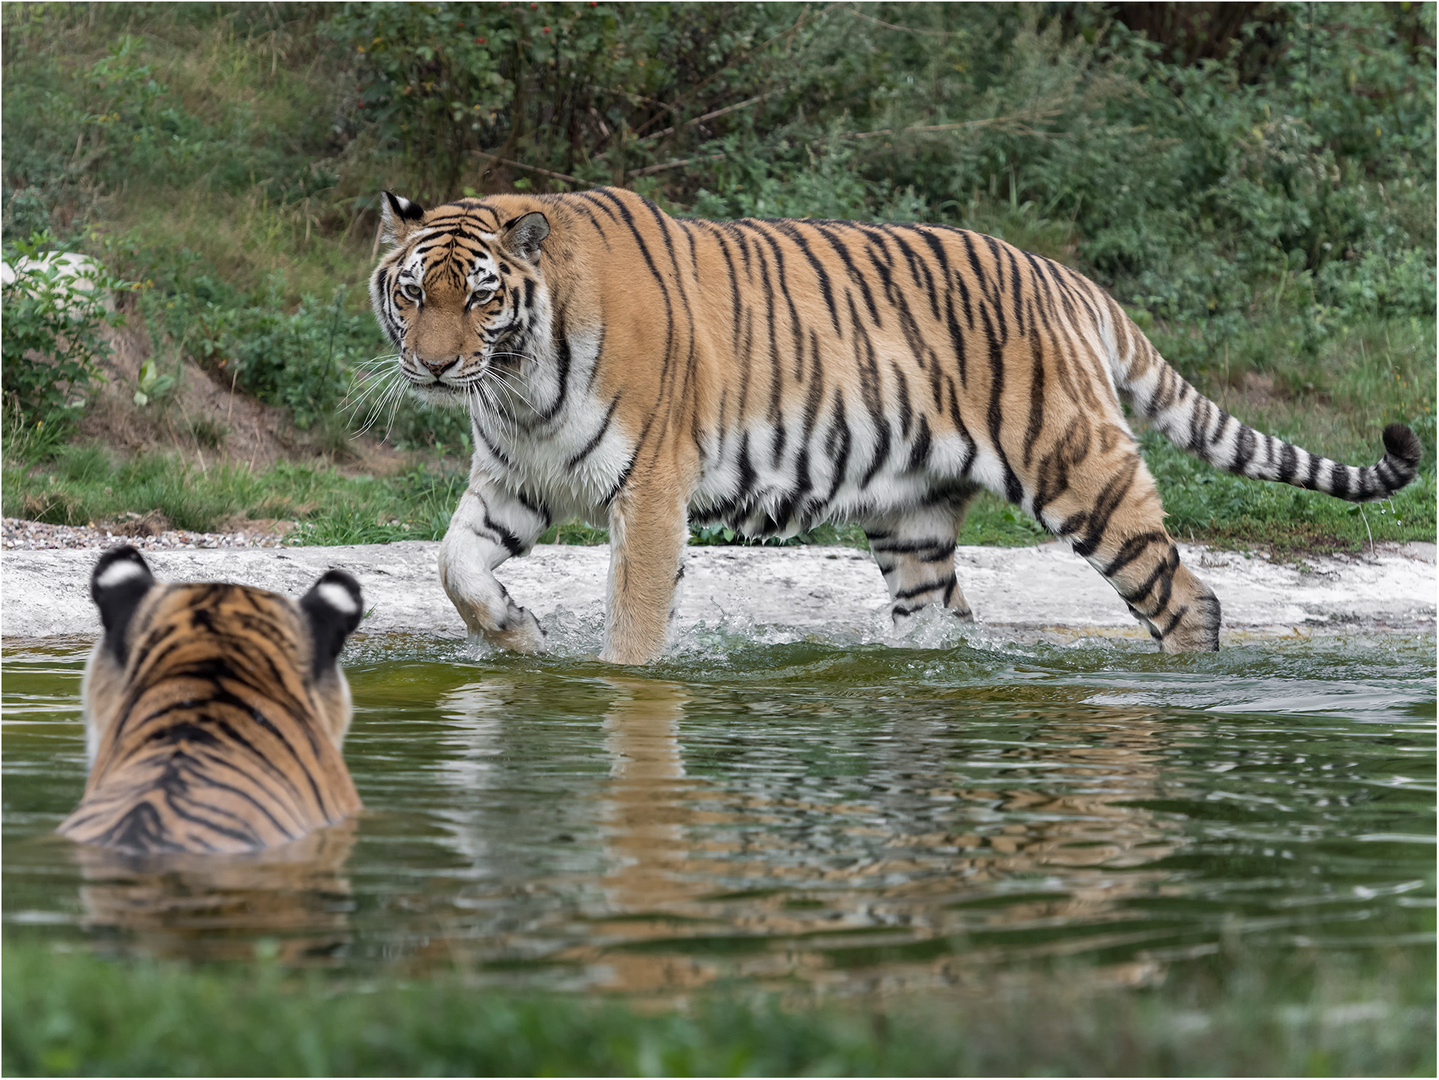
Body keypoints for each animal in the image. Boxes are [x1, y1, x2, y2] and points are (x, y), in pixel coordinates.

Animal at [365, 184, 1421, 667]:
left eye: (481, 297)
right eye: (413, 292)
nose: (432, 363)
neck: (516, 381)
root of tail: (1070, 280)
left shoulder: (651, 491)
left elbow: (633, 624)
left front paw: (606, 677)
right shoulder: (514, 481)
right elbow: (453, 566)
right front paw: (518, 631)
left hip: (1081, 473)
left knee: (1184, 598)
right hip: (912, 519)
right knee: (943, 619)